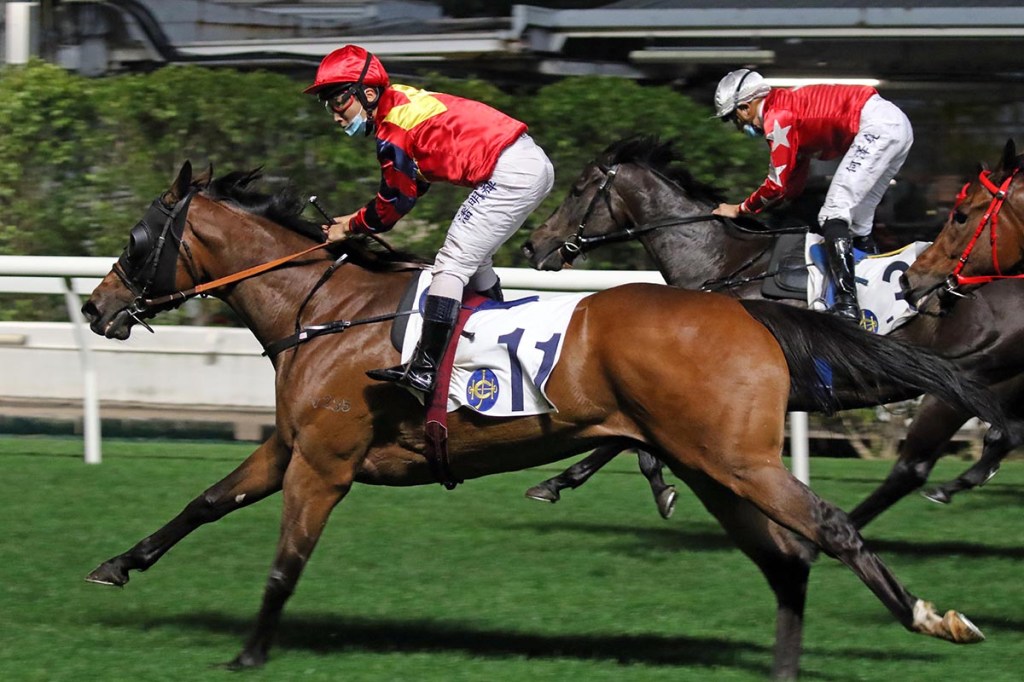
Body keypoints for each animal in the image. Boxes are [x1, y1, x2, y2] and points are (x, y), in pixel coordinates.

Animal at [80, 161, 1002, 679]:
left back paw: (932, 617)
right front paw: (118, 564)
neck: (323, 311)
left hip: (737, 460)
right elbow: (203, 503)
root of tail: (746, 312)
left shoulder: (325, 466)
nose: (94, 305)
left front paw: (249, 652)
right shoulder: (289, 448)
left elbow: (284, 564)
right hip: (710, 464)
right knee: (786, 557)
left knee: (830, 528)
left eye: (136, 238)